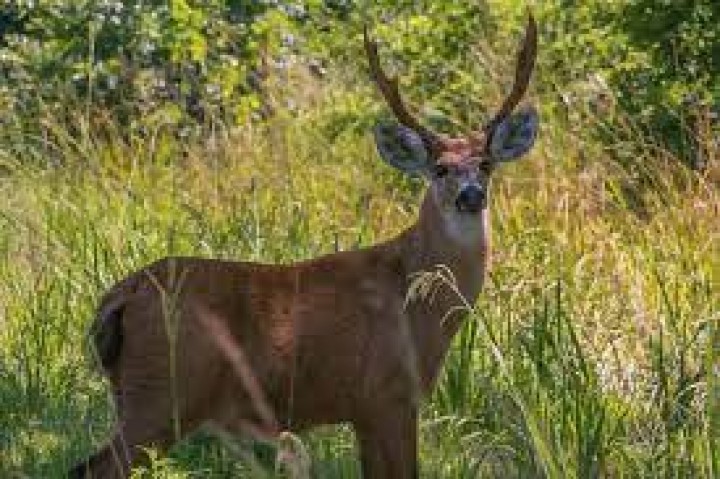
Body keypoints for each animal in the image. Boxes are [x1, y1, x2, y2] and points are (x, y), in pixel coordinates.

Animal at [70, 15, 536, 479]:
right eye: (439, 169)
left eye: (486, 165)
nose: (471, 195)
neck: (416, 299)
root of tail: (119, 297)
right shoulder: (387, 394)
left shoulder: (366, 408)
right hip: (165, 391)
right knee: (95, 467)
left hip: (139, 393)